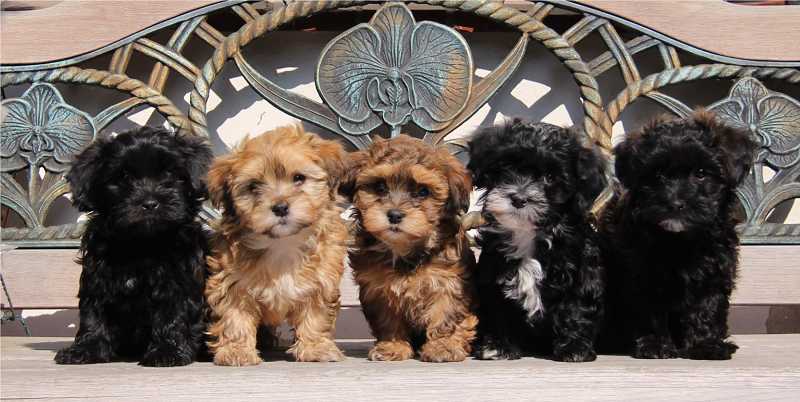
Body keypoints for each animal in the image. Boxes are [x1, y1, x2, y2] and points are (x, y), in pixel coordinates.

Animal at [54, 127, 212, 366]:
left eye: (169, 173)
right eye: (124, 177)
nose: (150, 203)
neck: (141, 244)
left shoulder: (179, 282)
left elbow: (174, 315)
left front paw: (167, 351)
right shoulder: (97, 278)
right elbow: (93, 315)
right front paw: (85, 349)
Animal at [204, 125, 349, 366]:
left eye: (299, 178)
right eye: (253, 186)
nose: (280, 207)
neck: (283, 243)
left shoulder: (321, 281)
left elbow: (316, 315)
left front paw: (315, 348)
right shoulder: (232, 282)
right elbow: (235, 316)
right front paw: (237, 351)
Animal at [342, 135, 477, 363]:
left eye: (423, 191)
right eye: (380, 187)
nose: (395, 215)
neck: (405, 250)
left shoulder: (448, 284)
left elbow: (444, 315)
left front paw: (442, 346)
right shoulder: (378, 289)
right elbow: (388, 320)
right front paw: (392, 347)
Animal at [467, 119, 608, 362]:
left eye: (550, 178)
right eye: (507, 167)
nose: (519, 198)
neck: (528, 233)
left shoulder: (581, 272)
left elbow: (576, 307)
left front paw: (574, 348)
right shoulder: (493, 274)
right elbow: (497, 310)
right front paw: (498, 346)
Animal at [599, 110, 757, 360]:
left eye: (701, 174)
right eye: (657, 174)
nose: (674, 203)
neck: (679, 240)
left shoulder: (713, 271)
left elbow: (707, 307)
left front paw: (706, 344)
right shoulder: (642, 273)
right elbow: (649, 310)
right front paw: (655, 345)